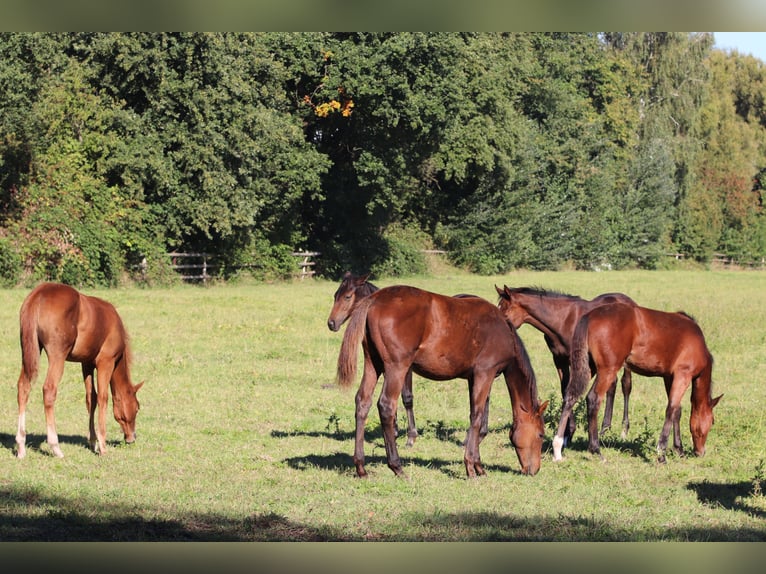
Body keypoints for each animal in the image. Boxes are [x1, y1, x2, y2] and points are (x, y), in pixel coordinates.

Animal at [14, 282, 144, 462]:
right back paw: (55, 447)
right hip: (57, 357)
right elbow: (103, 398)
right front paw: (102, 446)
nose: (131, 437)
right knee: (49, 390)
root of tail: (39, 294)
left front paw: (93, 442)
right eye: (137, 408)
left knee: (23, 387)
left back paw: (21, 445)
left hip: (30, 351)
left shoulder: (86, 364)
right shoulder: (106, 363)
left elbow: (91, 398)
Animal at [340, 286, 548, 480]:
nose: (534, 470)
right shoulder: (485, 374)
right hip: (396, 367)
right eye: (541, 434)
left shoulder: (474, 378)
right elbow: (477, 417)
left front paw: (479, 466)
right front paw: (470, 467)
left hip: (372, 364)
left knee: (363, 402)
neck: (504, 331)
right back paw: (397, 466)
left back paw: (361, 467)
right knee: (386, 406)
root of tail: (374, 299)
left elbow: (478, 418)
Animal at [496, 286, 640, 444]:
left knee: (626, 385)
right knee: (612, 385)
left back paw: (624, 429)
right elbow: (565, 390)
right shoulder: (560, 361)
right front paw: (567, 433)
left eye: (505, 314)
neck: (563, 321)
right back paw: (604, 428)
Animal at [552, 304, 728, 466]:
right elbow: (671, 410)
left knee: (570, 397)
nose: (700, 452)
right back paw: (596, 450)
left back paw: (558, 448)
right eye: (712, 421)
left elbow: (676, 412)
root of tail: (590, 316)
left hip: (589, 367)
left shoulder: (669, 377)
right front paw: (661, 454)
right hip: (608, 370)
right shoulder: (682, 376)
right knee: (593, 399)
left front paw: (679, 450)